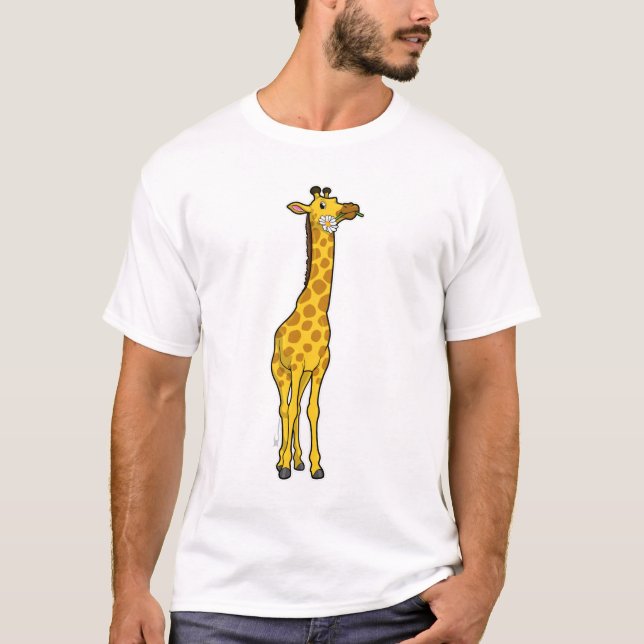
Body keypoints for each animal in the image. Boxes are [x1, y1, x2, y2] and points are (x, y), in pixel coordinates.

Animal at [271, 186, 363, 480]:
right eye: (322, 204)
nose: (353, 207)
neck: (320, 312)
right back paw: (282, 462)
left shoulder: (321, 365)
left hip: (303, 376)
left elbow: (312, 410)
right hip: (280, 372)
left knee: (297, 407)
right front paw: (285, 467)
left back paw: (297, 460)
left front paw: (315, 466)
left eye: (335, 199)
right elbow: (290, 409)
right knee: (285, 408)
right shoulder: (297, 365)